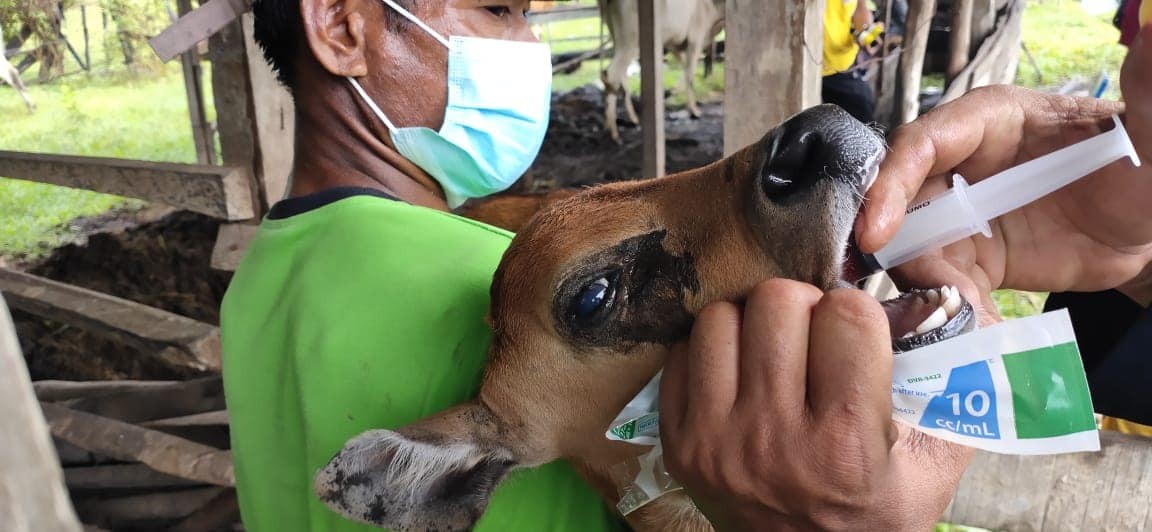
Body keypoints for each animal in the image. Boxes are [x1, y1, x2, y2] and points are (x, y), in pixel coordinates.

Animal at [599, 0, 723, 141]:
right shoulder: (695, 39)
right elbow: (690, 73)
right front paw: (694, 110)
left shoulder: (674, 42)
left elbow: (685, 68)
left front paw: (674, 91)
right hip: (630, 42)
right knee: (611, 76)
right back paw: (613, 131)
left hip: (616, 37)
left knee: (620, 76)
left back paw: (630, 119)